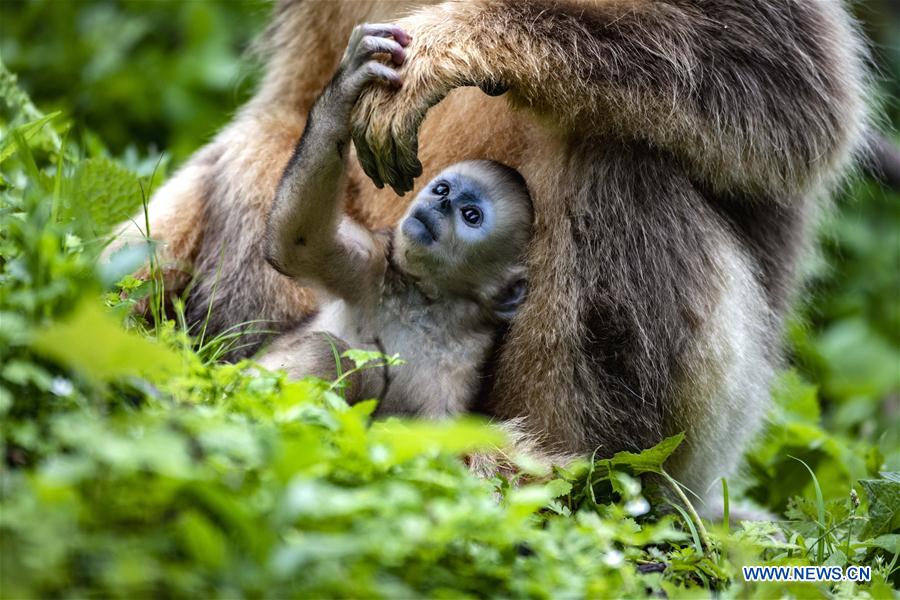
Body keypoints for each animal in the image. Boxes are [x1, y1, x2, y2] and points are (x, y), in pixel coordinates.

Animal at [256, 24, 532, 418]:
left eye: (471, 215)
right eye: (443, 189)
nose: (440, 203)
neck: (425, 305)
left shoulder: (459, 376)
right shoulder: (373, 265)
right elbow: (297, 241)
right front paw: (346, 89)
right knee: (327, 350)